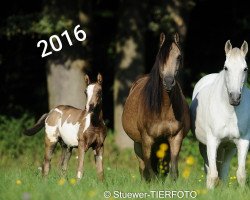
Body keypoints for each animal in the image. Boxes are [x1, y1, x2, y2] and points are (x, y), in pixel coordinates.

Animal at [121, 33, 189, 181]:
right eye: (160, 57)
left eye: (179, 57)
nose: (168, 82)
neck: (164, 108)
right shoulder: (146, 140)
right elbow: (150, 171)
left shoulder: (175, 137)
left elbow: (173, 171)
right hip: (138, 144)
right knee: (143, 168)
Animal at [190, 39, 249, 188]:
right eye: (226, 67)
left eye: (245, 69)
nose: (235, 98)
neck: (230, 113)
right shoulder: (212, 142)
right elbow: (212, 175)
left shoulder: (243, 142)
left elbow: (240, 174)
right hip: (204, 145)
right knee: (209, 169)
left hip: (229, 147)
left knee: (224, 170)